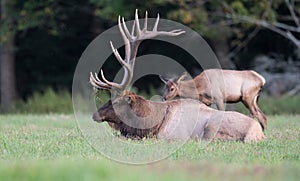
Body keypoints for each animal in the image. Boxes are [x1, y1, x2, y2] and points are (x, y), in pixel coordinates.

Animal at [89, 10, 264, 142]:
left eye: (115, 102)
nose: (94, 114)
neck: (152, 122)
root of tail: (259, 135)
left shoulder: (167, 137)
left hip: (213, 126)